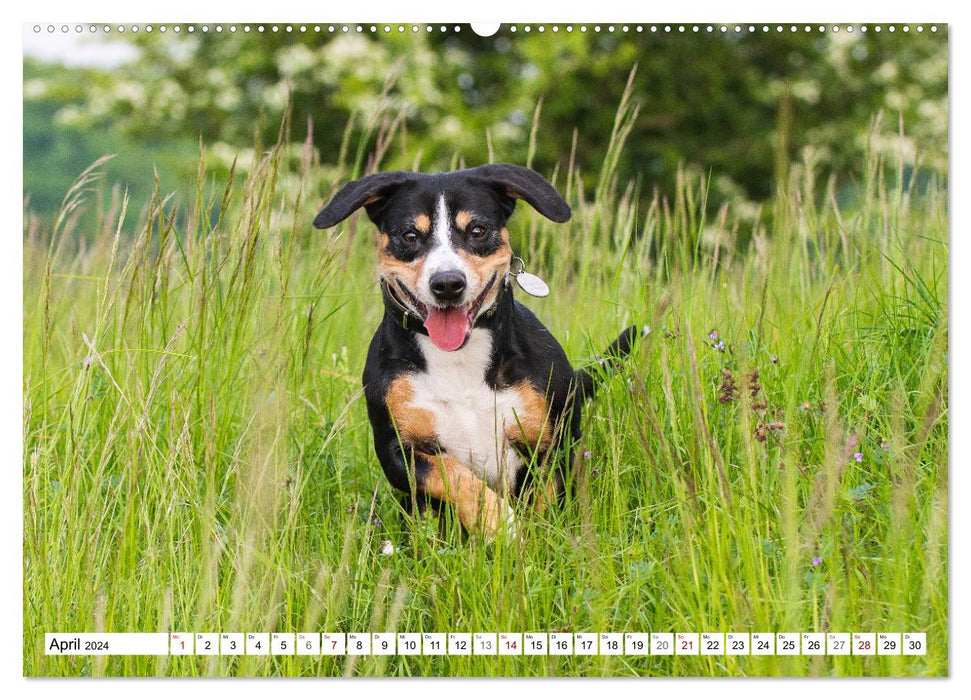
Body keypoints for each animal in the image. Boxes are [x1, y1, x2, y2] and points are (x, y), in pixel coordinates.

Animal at [316, 164, 640, 536]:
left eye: (477, 230)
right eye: (410, 236)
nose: (447, 283)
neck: (459, 358)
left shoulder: (551, 443)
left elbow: (544, 506)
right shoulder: (397, 451)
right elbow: (456, 477)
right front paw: (502, 526)